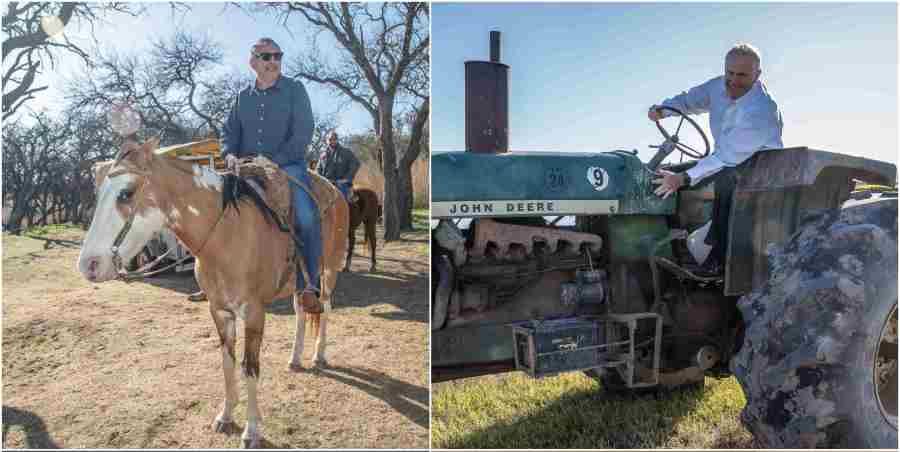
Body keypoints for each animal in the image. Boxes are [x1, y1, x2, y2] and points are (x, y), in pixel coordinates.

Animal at [78, 139, 348, 448]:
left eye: (126, 193)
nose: (88, 265)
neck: (227, 232)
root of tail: (336, 192)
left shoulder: (254, 313)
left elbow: (249, 367)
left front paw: (252, 430)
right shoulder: (219, 311)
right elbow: (227, 363)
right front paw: (226, 416)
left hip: (329, 271)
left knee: (325, 309)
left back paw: (318, 356)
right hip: (298, 284)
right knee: (301, 311)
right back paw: (295, 358)